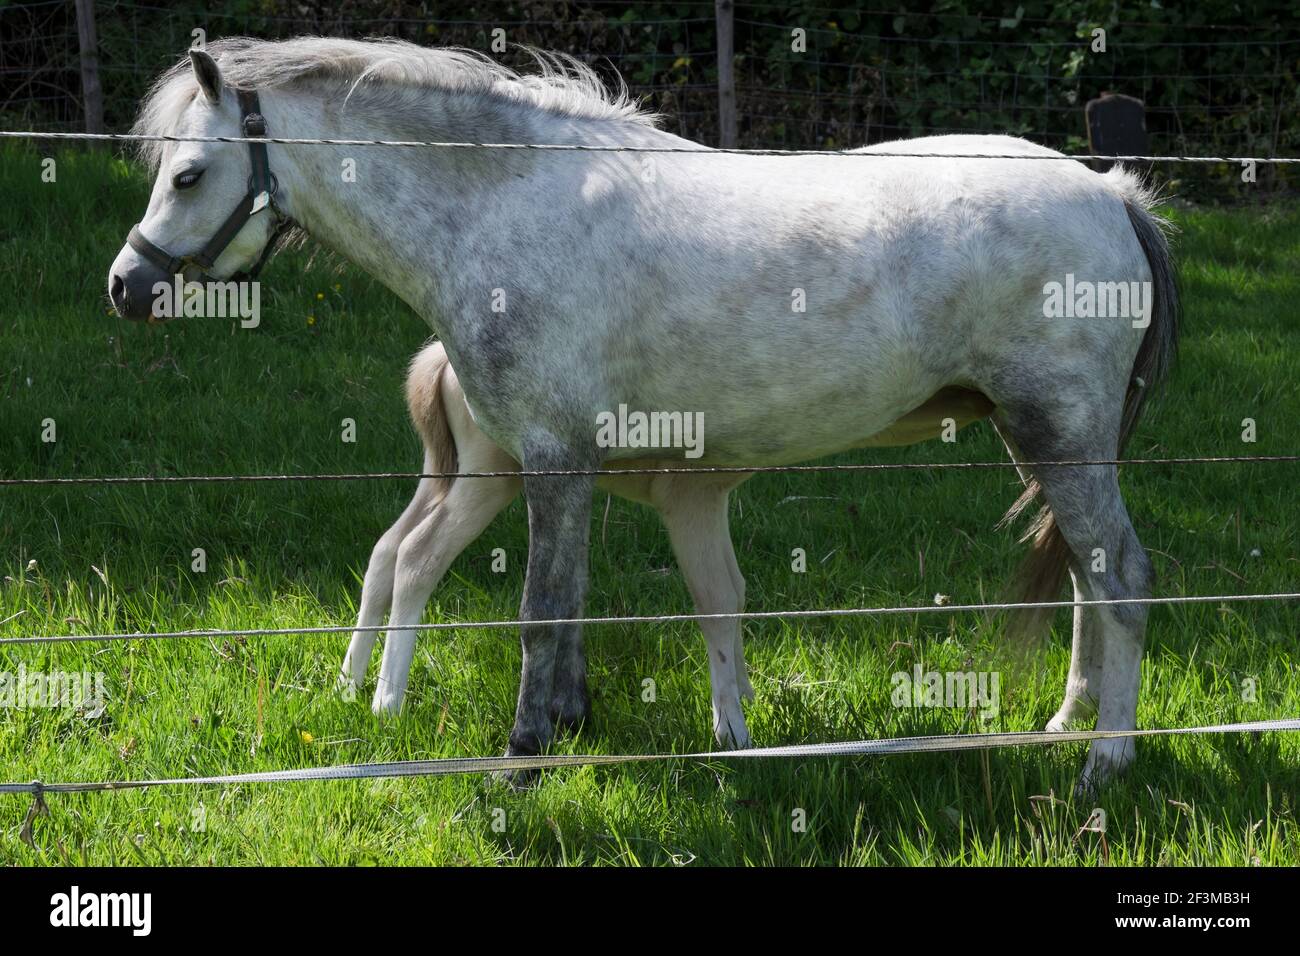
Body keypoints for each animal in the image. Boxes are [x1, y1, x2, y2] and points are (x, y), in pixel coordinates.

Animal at [108, 38, 1178, 791]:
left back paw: (1104, 763)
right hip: (1044, 443)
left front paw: (522, 762)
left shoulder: (550, 463)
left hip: (1059, 436)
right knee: (1084, 577)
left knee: (1121, 577)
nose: (127, 285)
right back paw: (1068, 725)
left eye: (189, 173)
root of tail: (1110, 191)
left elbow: (540, 616)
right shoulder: (565, 471)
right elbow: (568, 609)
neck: (504, 205)